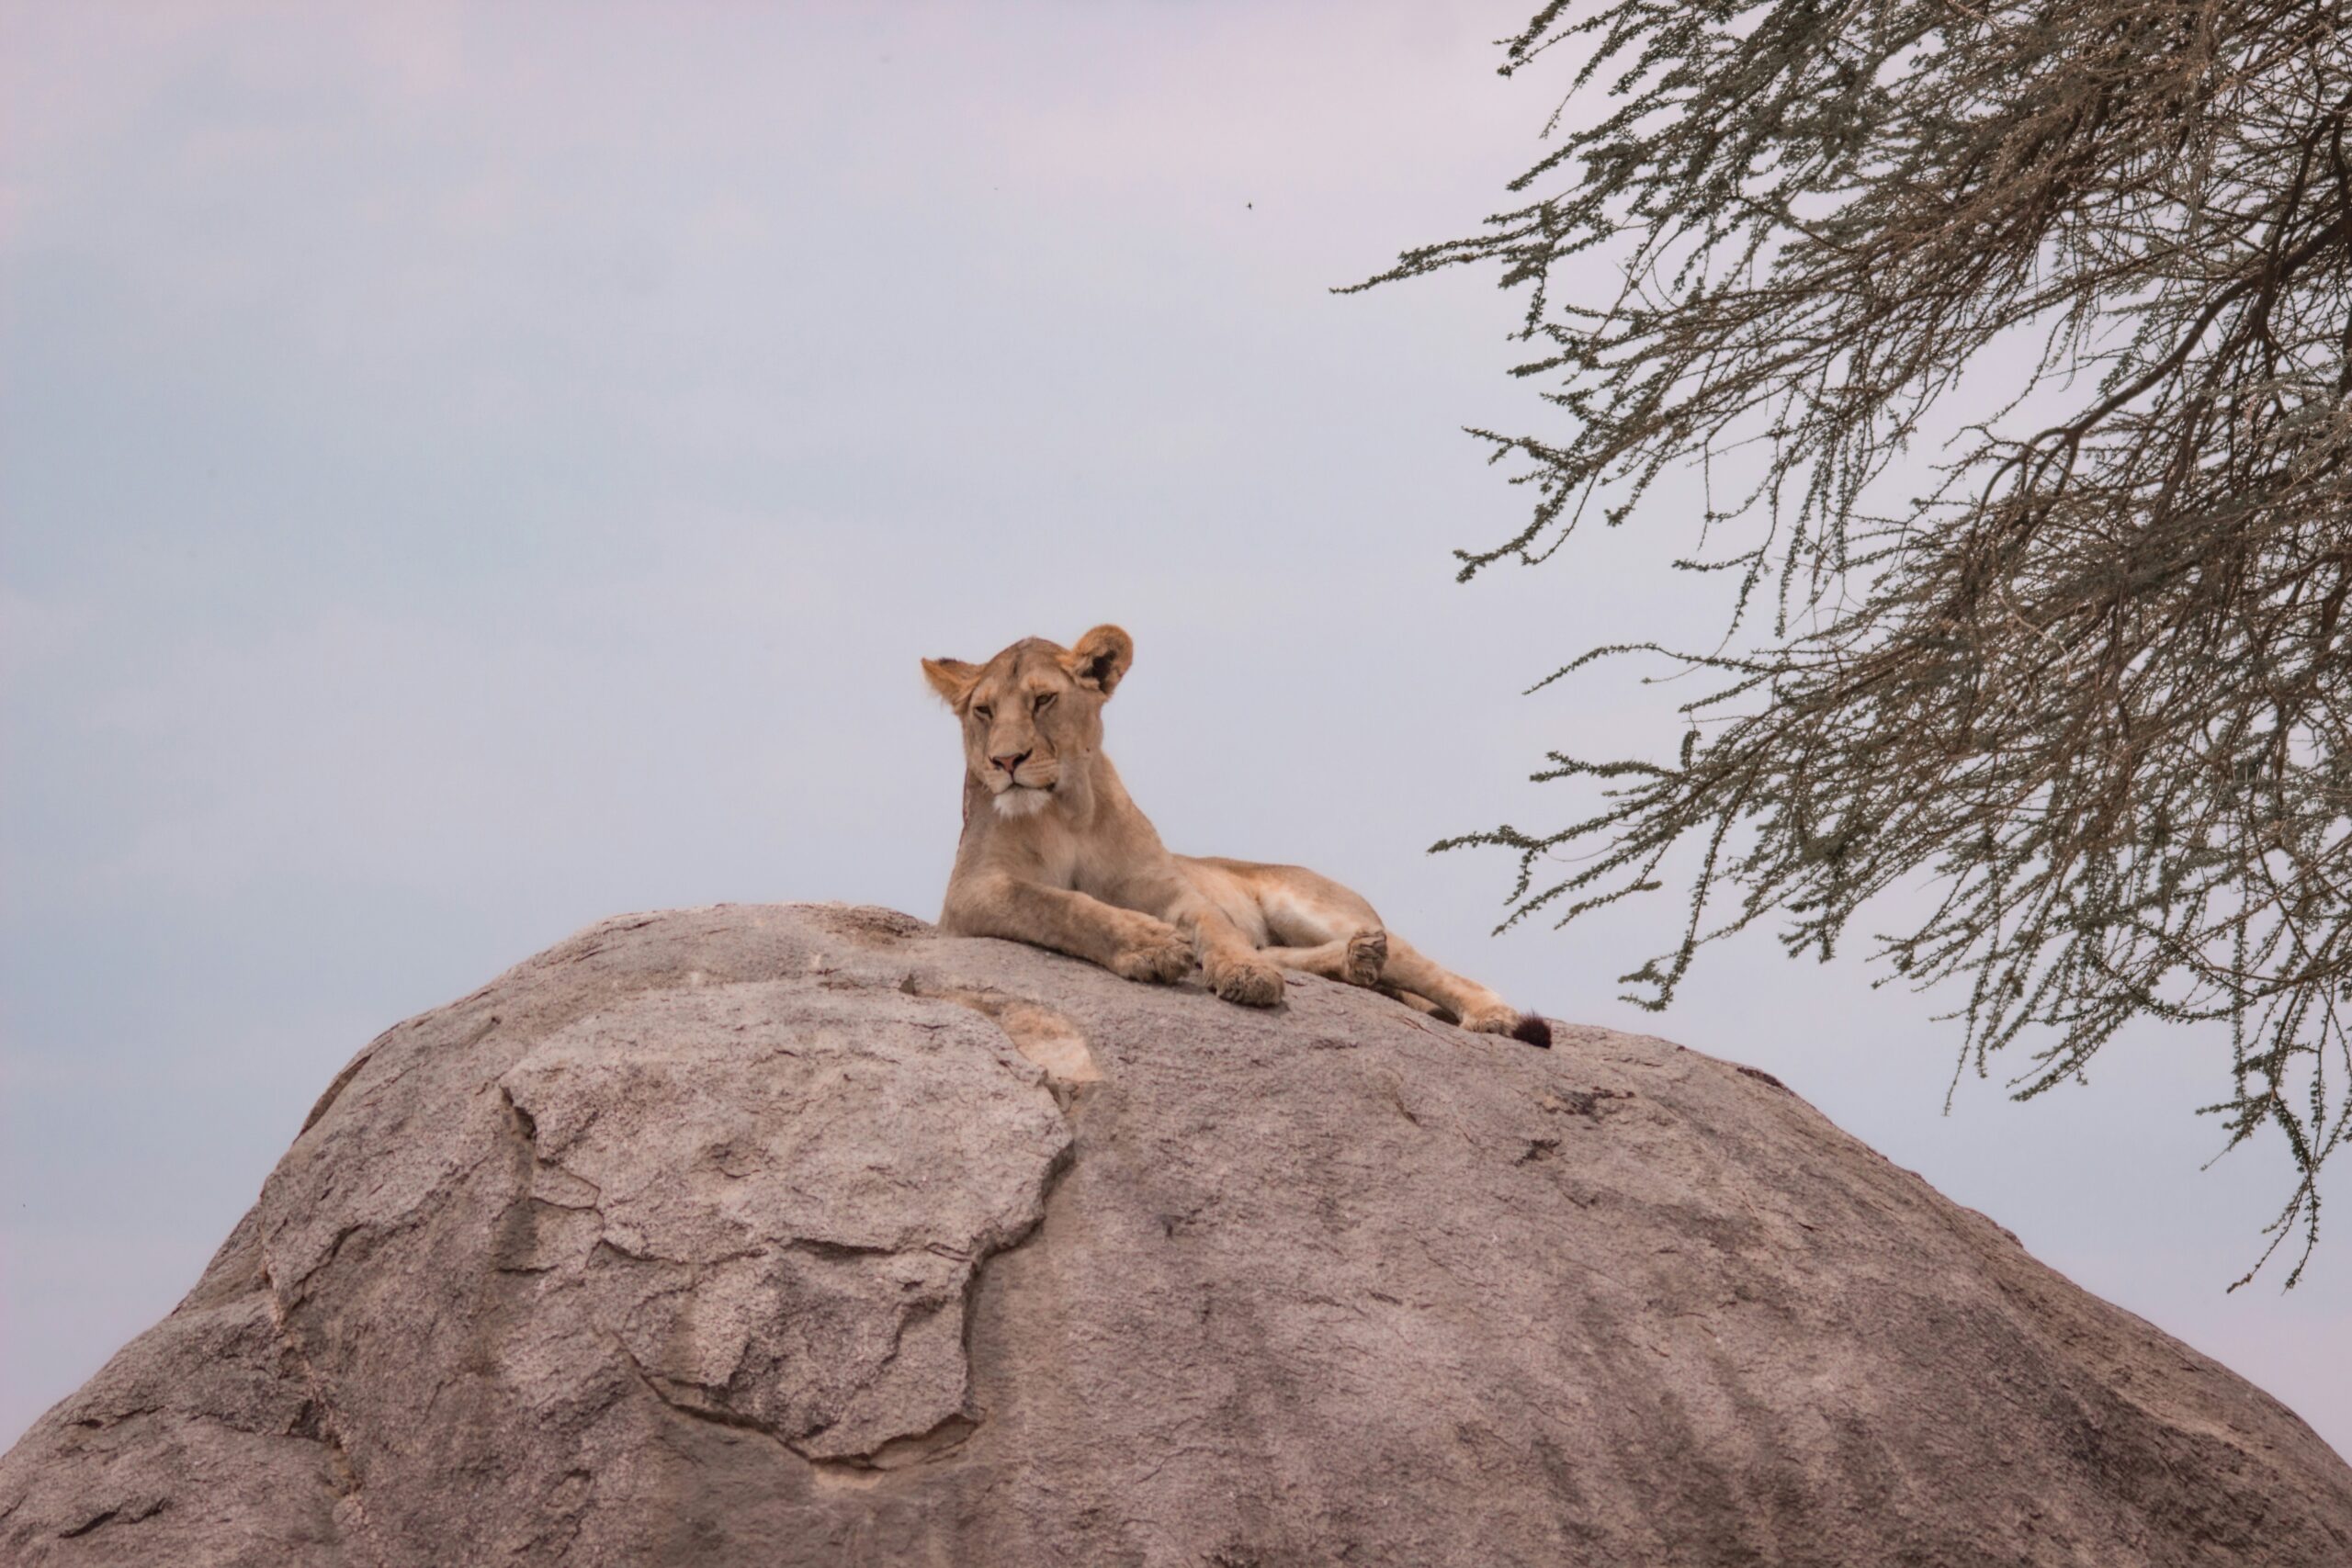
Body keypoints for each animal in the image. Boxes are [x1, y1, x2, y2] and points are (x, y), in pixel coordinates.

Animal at [922, 625, 1551, 1046]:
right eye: (983, 712)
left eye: (1044, 699)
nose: (1005, 761)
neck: (1067, 811)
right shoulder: (971, 894)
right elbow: (1057, 904)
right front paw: (1152, 945)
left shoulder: (1168, 887)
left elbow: (1212, 924)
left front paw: (1240, 973)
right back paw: (1358, 960)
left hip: (1311, 904)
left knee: (1423, 964)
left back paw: (1487, 1012)